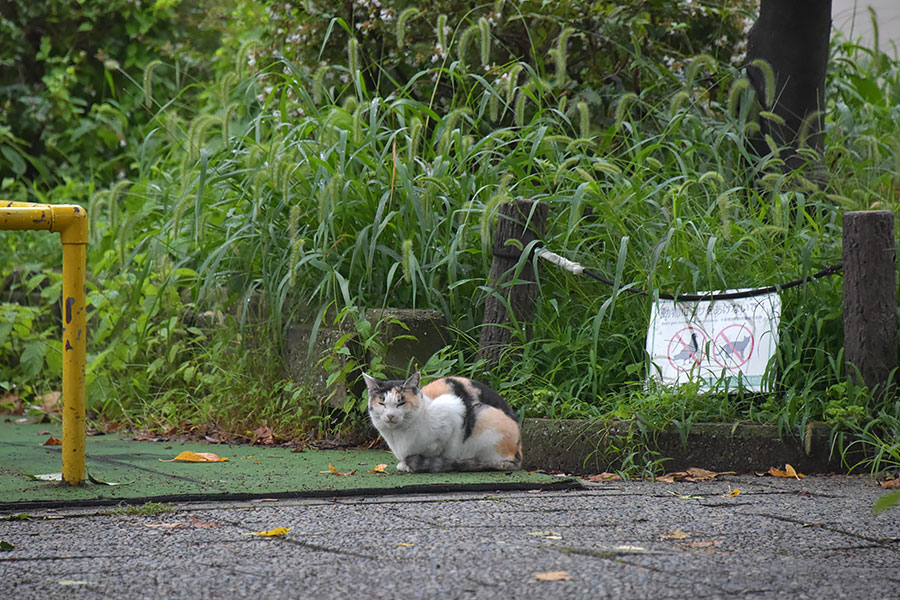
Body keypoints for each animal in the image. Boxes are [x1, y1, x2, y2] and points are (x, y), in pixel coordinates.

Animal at [362, 370, 524, 474]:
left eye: (401, 403)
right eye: (382, 403)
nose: (390, 415)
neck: (397, 436)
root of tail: (519, 455)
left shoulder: (452, 409)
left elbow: (437, 448)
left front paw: (408, 464)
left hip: (485, 418)